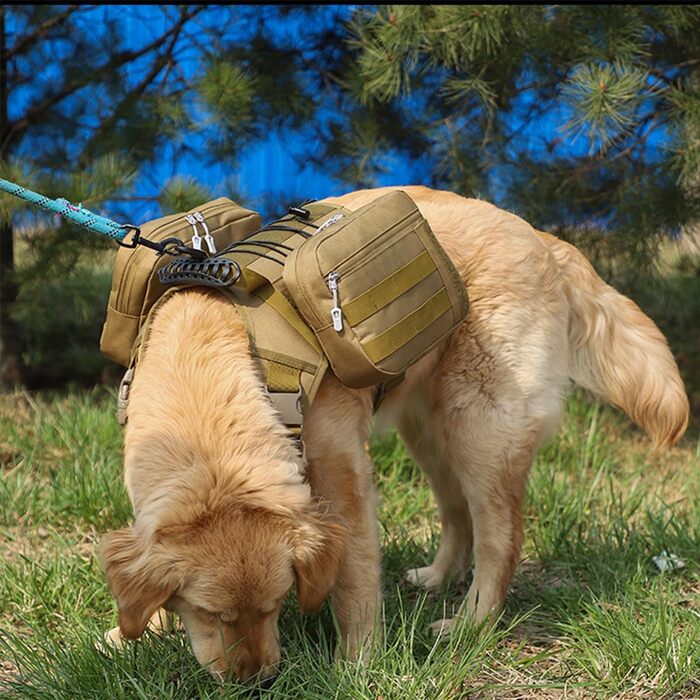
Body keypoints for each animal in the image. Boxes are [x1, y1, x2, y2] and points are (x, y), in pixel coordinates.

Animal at [100, 186, 688, 684]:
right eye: (211, 614)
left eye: (275, 604)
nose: (258, 682)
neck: (214, 364)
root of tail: (540, 238)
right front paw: (136, 632)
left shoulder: (343, 475)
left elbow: (354, 578)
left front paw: (355, 663)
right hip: (428, 432)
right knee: (457, 514)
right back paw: (438, 577)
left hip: (481, 430)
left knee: (500, 540)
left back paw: (470, 624)